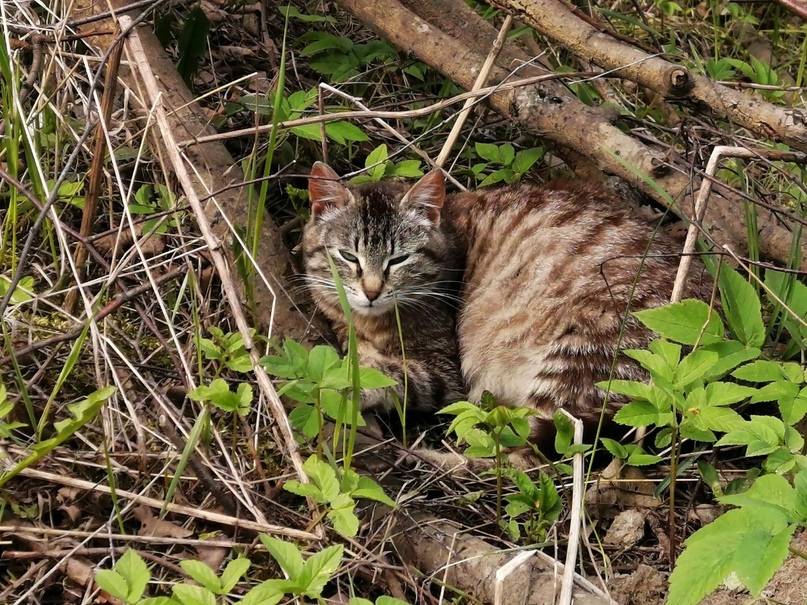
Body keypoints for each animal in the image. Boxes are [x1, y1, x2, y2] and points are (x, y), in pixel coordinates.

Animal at [306, 163, 712, 422]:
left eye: (400, 259)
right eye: (348, 256)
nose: (372, 291)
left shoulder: (444, 367)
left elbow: (393, 374)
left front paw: (348, 381)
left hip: (584, 353)